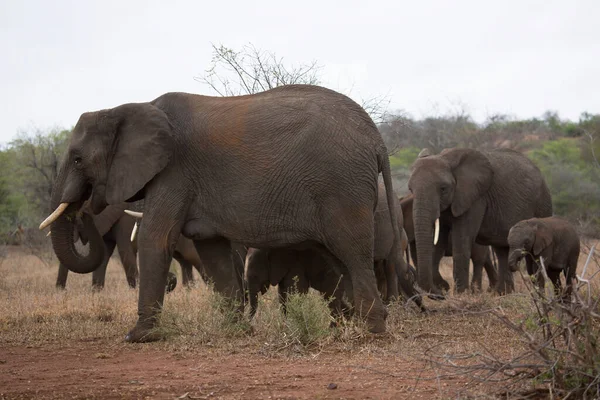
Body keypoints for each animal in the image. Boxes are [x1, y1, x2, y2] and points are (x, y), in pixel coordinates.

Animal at [39, 84, 414, 340]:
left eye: (77, 159)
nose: (84, 207)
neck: (125, 109)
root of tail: (377, 138)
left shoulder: (174, 172)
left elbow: (156, 239)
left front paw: (138, 337)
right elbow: (211, 249)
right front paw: (236, 331)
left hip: (342, 187)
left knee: (352, 251)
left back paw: (371, 332)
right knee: (343, 259)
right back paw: (348, 327)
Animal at [408, 148, 552, 296]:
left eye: (443, 188)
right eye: (410, 189)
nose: (441, 292)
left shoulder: (475, 198)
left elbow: (462, 241)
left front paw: (460, 294)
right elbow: (438, 245)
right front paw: (443, 286)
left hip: (543, 204)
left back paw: (537, 294)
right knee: (502, 250)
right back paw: (503, 293)